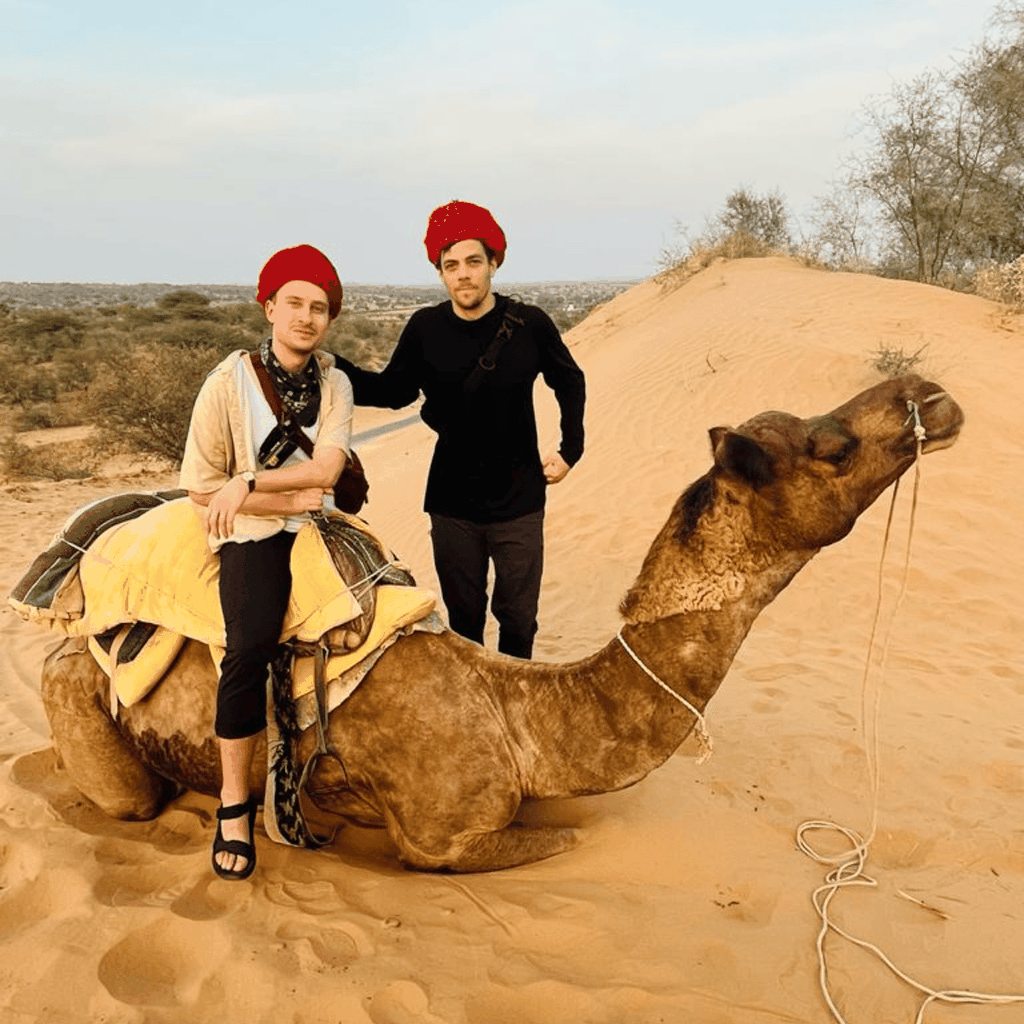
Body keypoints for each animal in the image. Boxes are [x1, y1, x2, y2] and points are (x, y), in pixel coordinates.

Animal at [38, 374, 963, 872]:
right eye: (834, 446)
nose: (931, 395)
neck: (521, 717)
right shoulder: (446, 838)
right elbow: (562, 842)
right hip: (79, 700)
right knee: (124, 795)